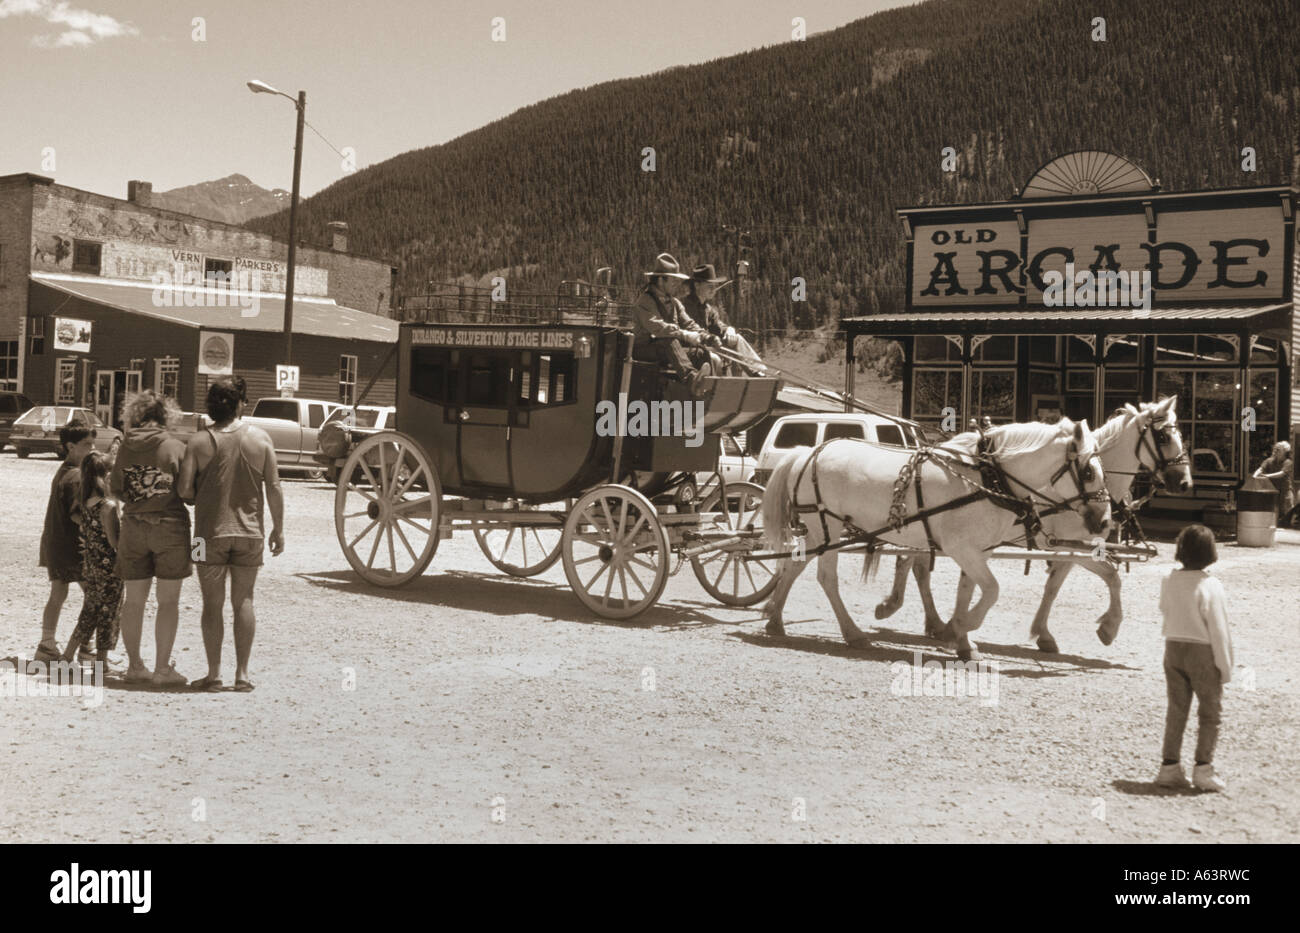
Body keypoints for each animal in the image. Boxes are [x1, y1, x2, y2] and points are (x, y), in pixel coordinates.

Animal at [759, 421, 1107, 662]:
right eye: (1089, 472)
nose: (1104, 521)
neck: (987, 477)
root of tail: (808, 452)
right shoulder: (961, 548)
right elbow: (992, 590)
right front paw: (956, 628)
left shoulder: (978, 551)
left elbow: (968, 592)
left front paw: (962, 640)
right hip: (827, 526)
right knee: (826, 577)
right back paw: (853, 633)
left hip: (819, 531)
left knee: (794, 566)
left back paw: (775, 619)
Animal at [873, 397, 1190, 654]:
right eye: (1163, 436)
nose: (1186, 482)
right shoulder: (1074, 549)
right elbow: (1100, 579)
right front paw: (1103, 628)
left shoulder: (1069, 549)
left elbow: (1071, 584)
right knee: (910, 564)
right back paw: (901, 609)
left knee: (913, 564)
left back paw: (930, 621)